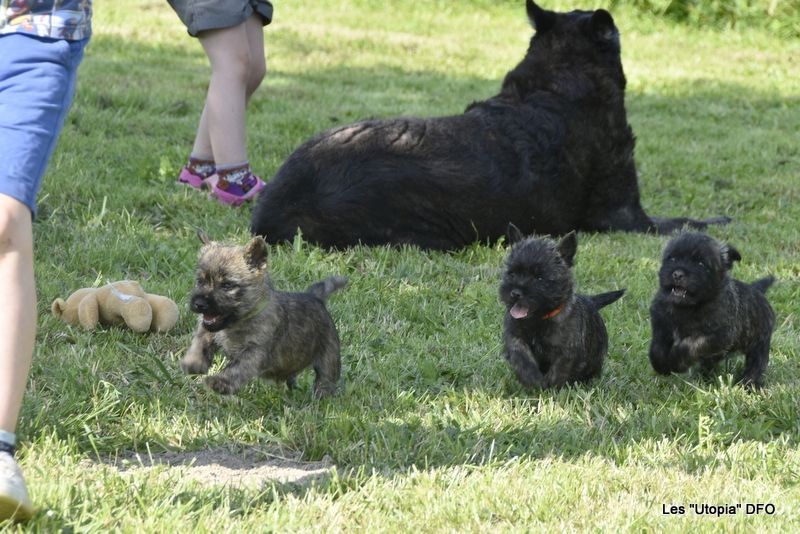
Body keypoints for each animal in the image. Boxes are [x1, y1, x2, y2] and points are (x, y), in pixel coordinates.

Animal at [183, 232, 348, 400]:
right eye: (200, 281)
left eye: (227, 285)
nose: (199, 303)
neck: (238, 321)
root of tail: (315, 297)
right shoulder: (208, 329)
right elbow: (201, 341)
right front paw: (193, 363)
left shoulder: (255, 352)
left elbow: (237, 368)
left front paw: (220, 382)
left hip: (329, 356)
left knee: (326, 378)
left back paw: (321, 396)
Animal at [500, 226, 624, 390]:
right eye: (512, 273)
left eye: (539, 278)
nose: (515, 293)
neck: (539, 319)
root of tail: (590, 300)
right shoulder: (515, 338)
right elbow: (522, 358)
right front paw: (532, 379)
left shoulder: (567, 350)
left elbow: (559, 369)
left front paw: (551, 387)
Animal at [648, 234, 776, 390]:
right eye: (671, 258)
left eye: (701, 264)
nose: (677, 274)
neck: (686, 308)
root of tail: (757, 290)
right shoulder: (660, 325)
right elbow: (657, 348)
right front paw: (661, 365)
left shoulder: (717, 337)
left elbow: (689, 346)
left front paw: (676, 362)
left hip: (759, 344)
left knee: (756, 365)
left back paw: (750, 384)